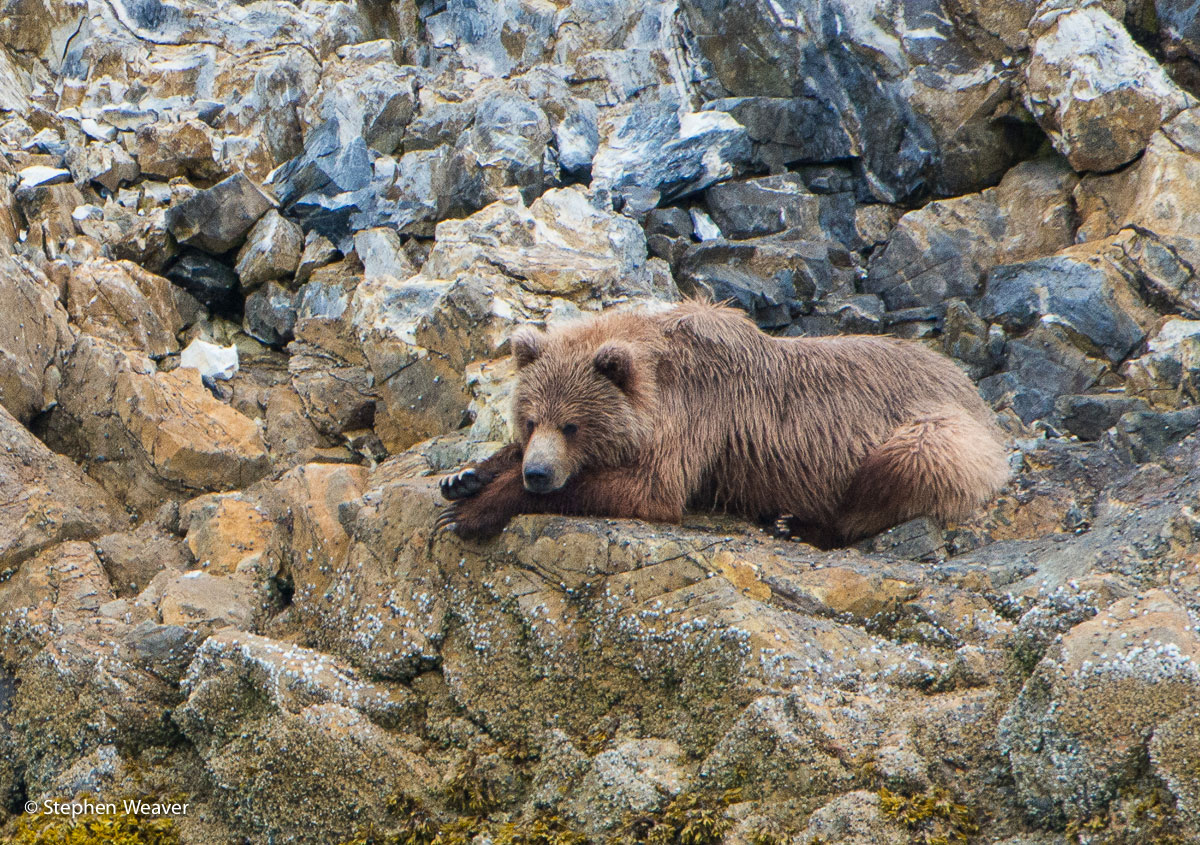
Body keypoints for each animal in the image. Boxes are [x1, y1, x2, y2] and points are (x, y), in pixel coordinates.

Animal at [436, 298, 1008, 547]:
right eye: (531, 420)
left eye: (573, 426)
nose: (538, 474)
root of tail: (973, 389)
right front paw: (464, 477)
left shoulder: (698, 417)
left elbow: (649, 490)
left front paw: (473, 510)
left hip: (935, 429)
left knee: (903, 466)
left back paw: (798, 524)